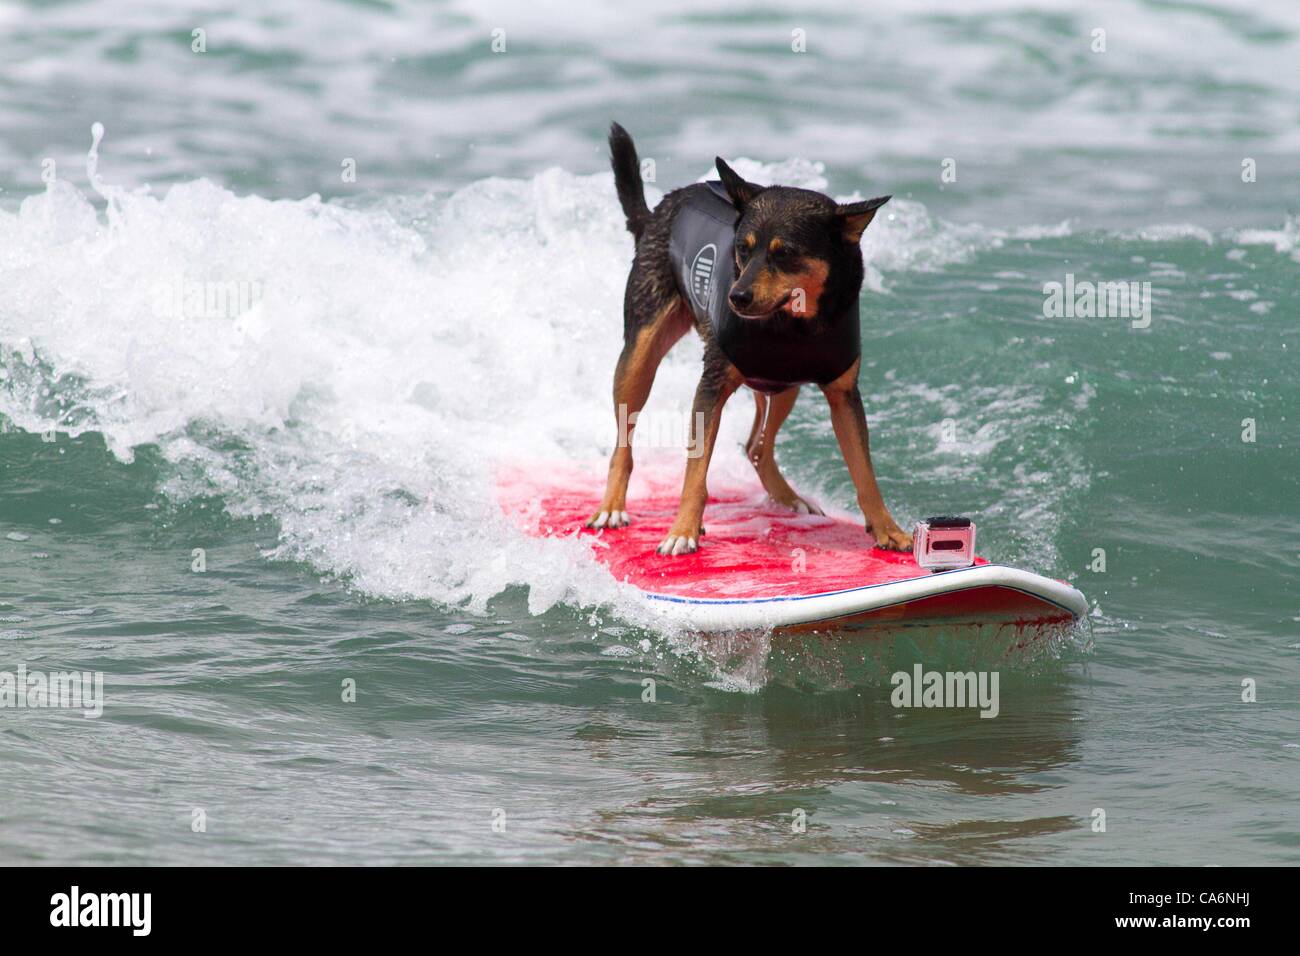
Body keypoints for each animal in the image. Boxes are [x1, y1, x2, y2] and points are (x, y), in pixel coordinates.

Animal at [590, 125, 915, 561]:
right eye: (741, 249)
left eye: (786, 253)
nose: (736, 297)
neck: (795, 323)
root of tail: (659, 209)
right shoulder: (711, 386)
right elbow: (695, 469)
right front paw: (682, 530)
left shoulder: (844, 393)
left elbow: (864, 472)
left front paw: (887, 528)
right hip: (640, 353)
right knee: (623, 440)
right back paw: (611, 507)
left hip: (782, 382)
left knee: (756, 446)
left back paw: (789, 497)